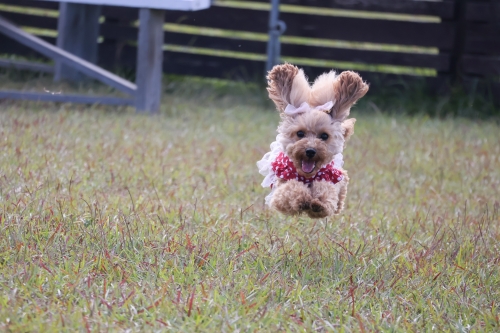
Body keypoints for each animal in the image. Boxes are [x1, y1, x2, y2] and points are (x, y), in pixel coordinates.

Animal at [258, 63, 368, 218]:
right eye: (300, 133)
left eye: (324, 136)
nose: (310, 151)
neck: (307, 176)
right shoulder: (281, 188)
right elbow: (290, 189)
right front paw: (302, 198)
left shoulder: (329, 177)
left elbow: (327, 191)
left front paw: (318, 203)